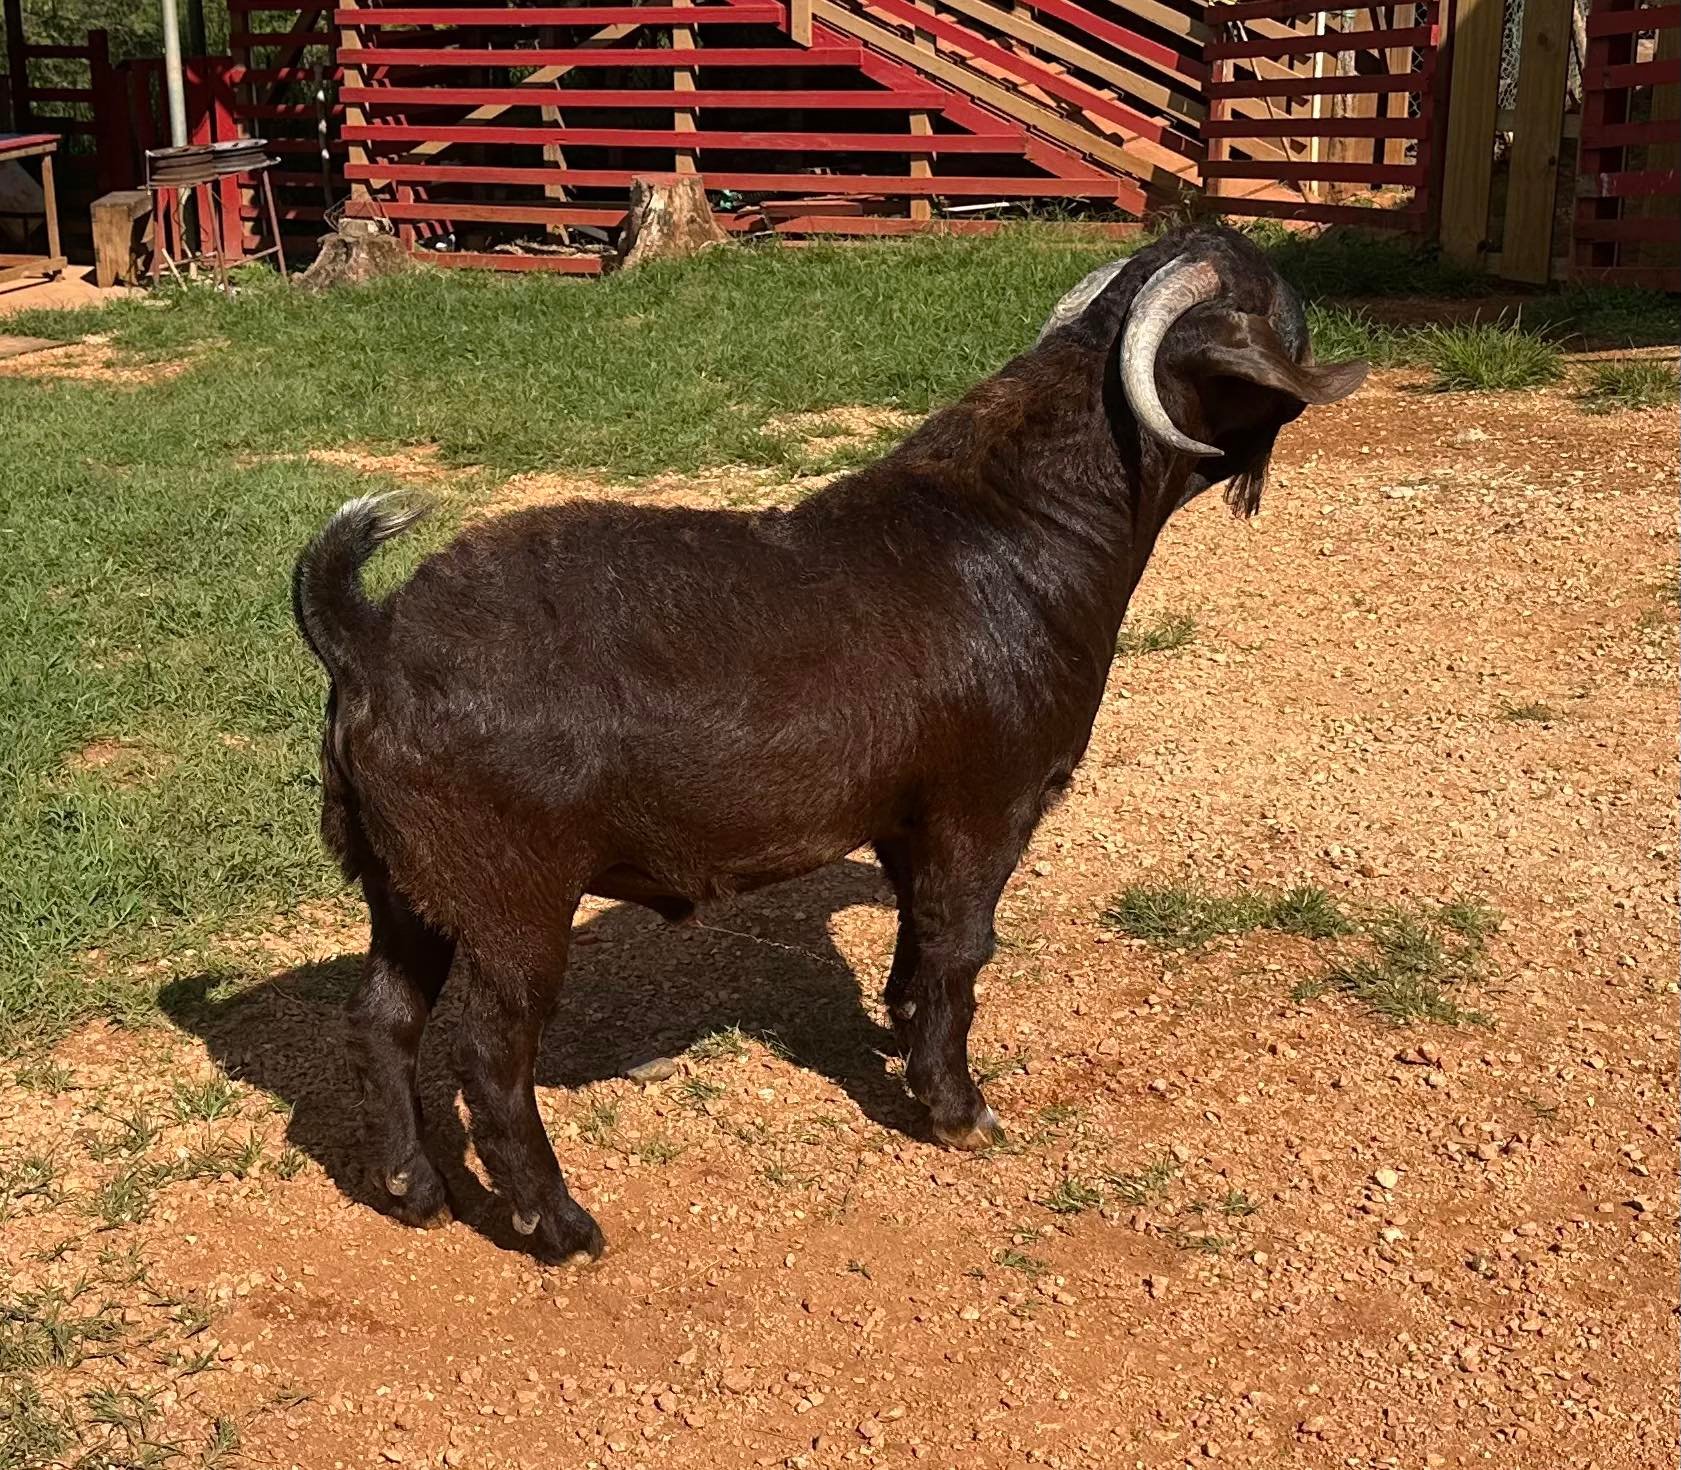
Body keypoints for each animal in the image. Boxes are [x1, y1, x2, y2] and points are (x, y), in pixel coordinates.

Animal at [292, 225, 1367, 1264]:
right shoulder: (986, 804)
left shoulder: (904, 817)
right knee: (490, 1056)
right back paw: (558, 1227)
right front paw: (956, 1108)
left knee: (383, 1018)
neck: (1022, 524)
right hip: (509, 900)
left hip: (403, 887)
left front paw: (901, 1034)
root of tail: (370, 637)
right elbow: (961, 944)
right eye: (1284, 304)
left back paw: (412, 1189)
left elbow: (917, 938)